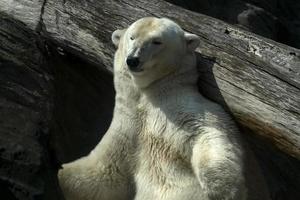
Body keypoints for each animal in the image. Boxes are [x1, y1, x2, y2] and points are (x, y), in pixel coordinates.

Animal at [58, 17, 270, 200]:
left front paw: (221, 190)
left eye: (157, 41)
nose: (133, 60)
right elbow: (101, 173)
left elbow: (210, 132)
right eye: (132, 37)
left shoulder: (185, 108)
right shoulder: (127, 128)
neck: (150, 94)